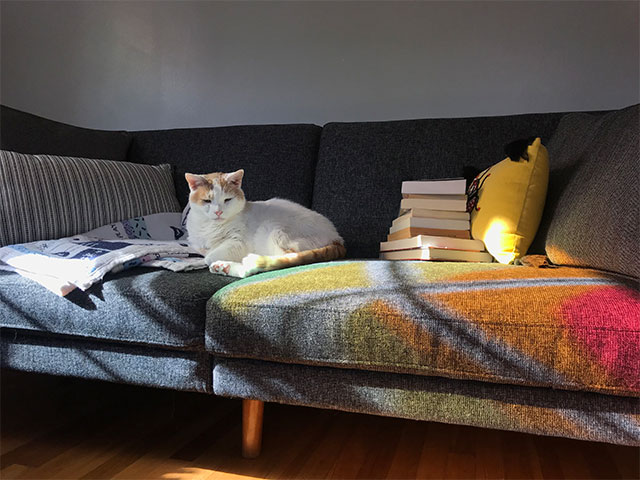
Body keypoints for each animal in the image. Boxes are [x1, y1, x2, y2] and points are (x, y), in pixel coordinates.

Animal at [185, 171, 344, 280]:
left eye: (227, 200)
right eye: (207, 201)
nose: (218, 212)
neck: (210, 228)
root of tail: (337, 238)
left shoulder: (238, 243)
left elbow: (208, 257)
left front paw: (205, 258)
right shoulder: (196, 244)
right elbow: (202, 251)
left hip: (272, 229)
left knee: (277, 260)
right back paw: (222, 267)